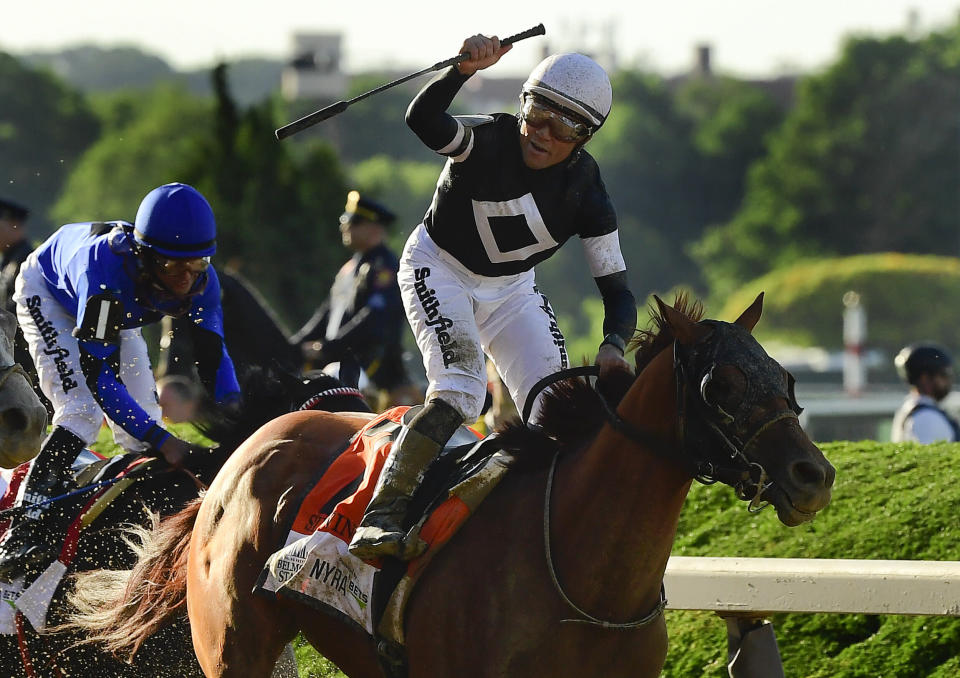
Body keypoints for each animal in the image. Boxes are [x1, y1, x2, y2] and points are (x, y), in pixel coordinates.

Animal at [73, 296, 832, 678]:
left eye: (785, 375)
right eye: (721, 383)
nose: (814, 476)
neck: (586, 582)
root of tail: (242, 452)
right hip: (233, 646)